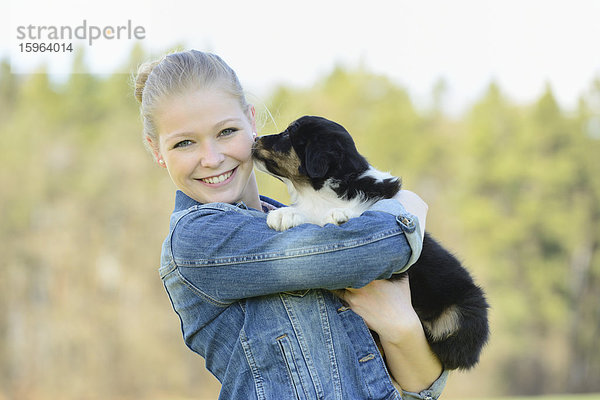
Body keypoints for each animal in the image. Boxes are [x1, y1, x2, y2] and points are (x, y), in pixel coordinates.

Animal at [251, 115, 490, 368]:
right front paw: (286, 213)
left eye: (288, 134)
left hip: (463, 312)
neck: (318, 192)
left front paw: (330, 215)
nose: (255, 139)